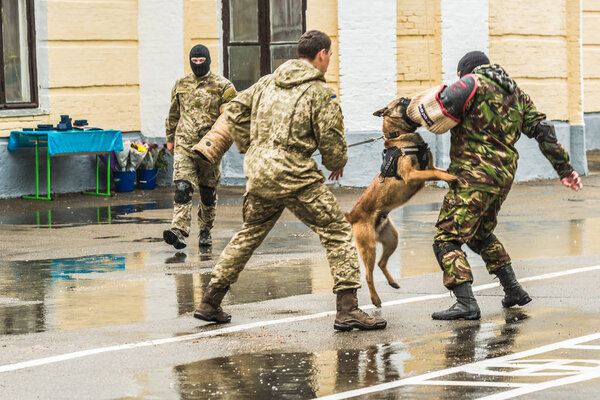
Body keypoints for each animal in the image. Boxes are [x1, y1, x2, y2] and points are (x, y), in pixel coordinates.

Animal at [346, 98, 454, 308]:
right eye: (401, 102)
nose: (409, 98)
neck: (400, 136)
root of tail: (352, 216)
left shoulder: (428, 167)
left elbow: (438, 170)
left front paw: (452, 174)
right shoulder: (412, 175)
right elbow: (436, 173)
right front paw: (451, 177)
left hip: (392, 239)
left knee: (382, 263)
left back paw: (393, 282)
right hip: (368, 248)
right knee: (369, 274)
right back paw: (375, 299)